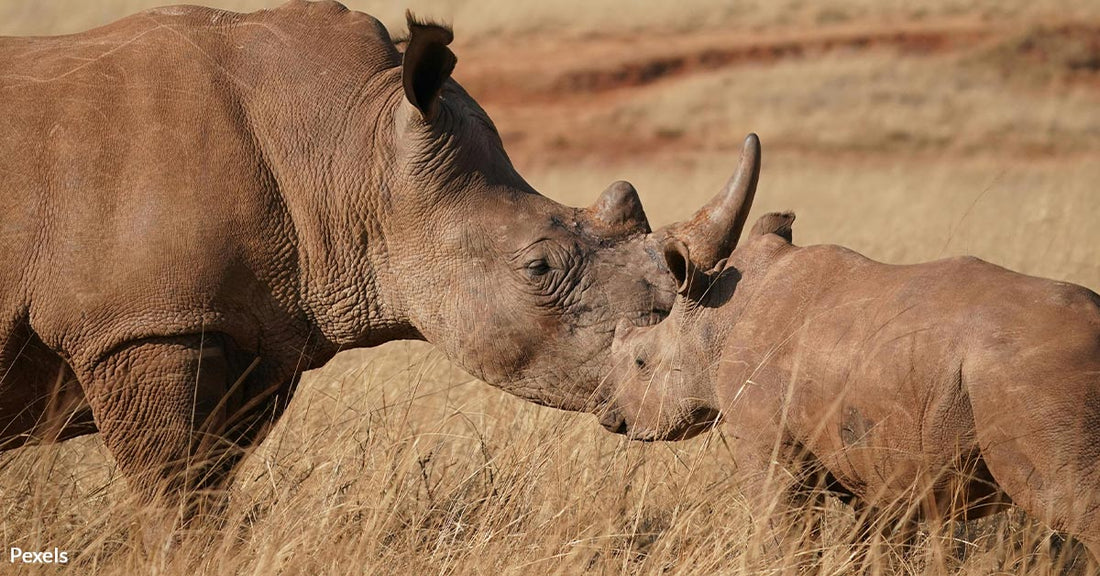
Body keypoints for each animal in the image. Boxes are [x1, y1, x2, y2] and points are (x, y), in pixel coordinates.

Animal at [0, 1, 732, 511]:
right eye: (540, 268)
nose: (687, 382)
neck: (348, 146)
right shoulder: (141, 325)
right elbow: (174, 493)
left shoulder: (253, 329)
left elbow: (209, 485)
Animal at [602, 136, 1100, 560]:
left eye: (641, 362)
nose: (613, 420)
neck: (715, 320)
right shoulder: (878, 460)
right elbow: (873, 544)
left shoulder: (767, 442)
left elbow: (785, 533)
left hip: (1033, 377)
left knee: (1079, 508)